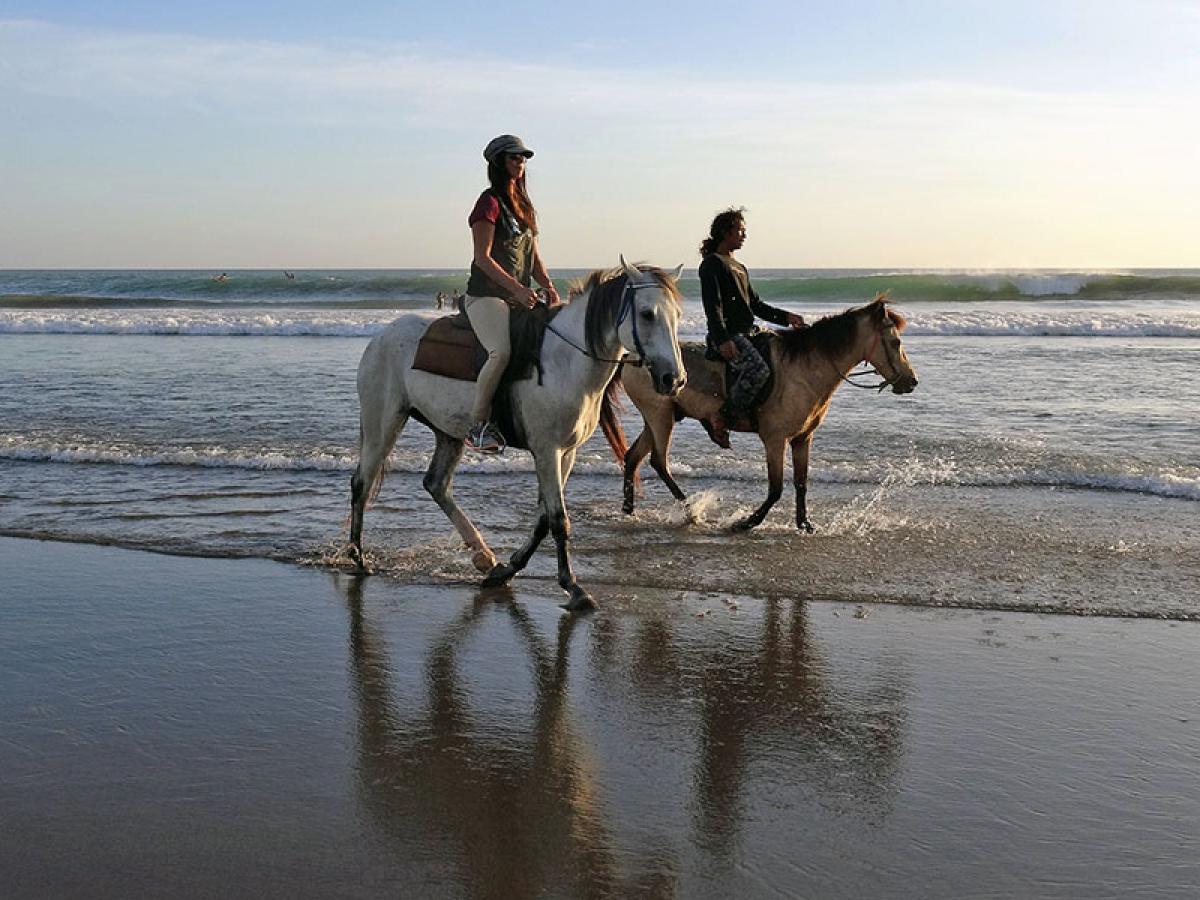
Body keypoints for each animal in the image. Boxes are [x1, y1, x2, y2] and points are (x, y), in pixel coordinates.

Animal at [348, 259, 686, 614]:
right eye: (647, 313)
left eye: (677, 315)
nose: (674, 379)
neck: (565, 361)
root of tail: (381, 337)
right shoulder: (547, 450)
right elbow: (557, 519)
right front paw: (573, 587)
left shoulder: (566, 453)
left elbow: (543, 519)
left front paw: (509, 569)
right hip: (383, 422)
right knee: (362, 482)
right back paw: (358, 557)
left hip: (448, 431)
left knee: (436, 484)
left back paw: (483, 556)